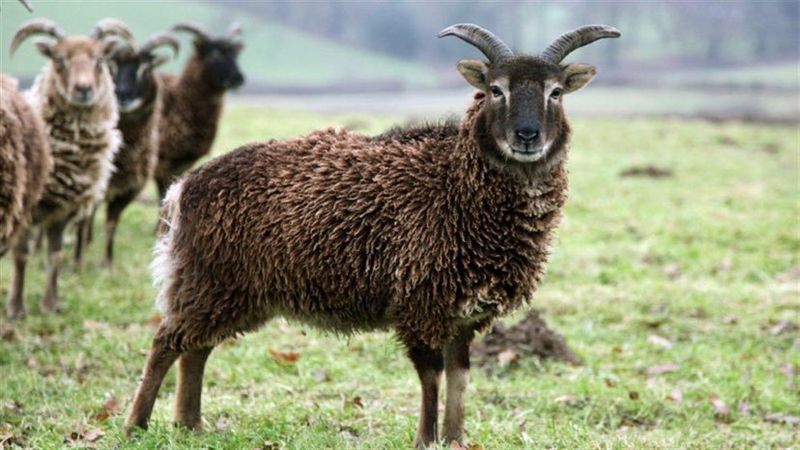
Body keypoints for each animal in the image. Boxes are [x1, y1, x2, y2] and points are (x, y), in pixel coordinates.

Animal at [5, 19, 121, 318]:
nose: (84, 89)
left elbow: (54, 255)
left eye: (99, 59)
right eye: (59, 59)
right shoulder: (25, 207)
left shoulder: (65, 209)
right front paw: (16, 307)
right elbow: (21, 254)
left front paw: (50, 303)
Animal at [73, 20, 179, 267]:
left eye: (145, 68)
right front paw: (78, 262)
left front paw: (107, 262)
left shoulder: (129, 188)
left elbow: (112, 223)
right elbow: (84, 220)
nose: (123, 94)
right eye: (112, 65)